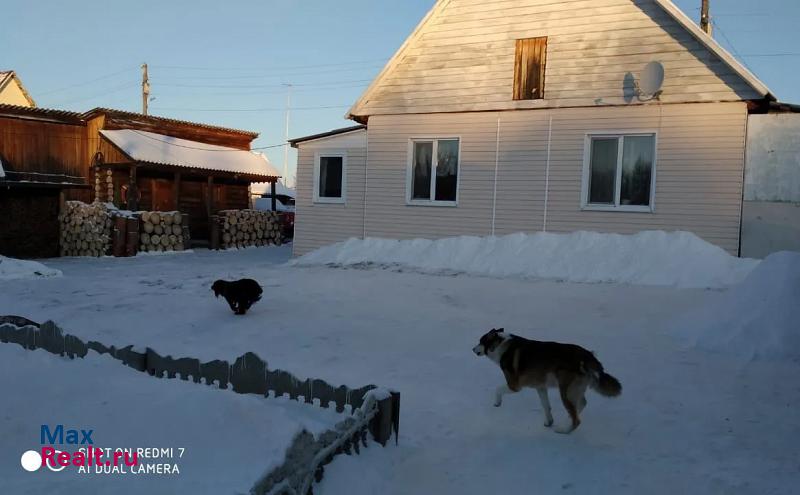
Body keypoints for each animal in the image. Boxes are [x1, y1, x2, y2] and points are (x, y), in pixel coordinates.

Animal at [472, 330, 620, 434]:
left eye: (480, 341)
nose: (472, 349)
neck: (500, 346)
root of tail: (587, 355)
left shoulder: (514, 386)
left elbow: (497, 389)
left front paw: (497, 403)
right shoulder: (541, 387)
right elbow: (546, 406)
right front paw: (549, 422)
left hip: (565, 391)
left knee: (577, 419)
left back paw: (564, 430)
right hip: (573, 390)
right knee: (581, 404)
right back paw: (567, 419)